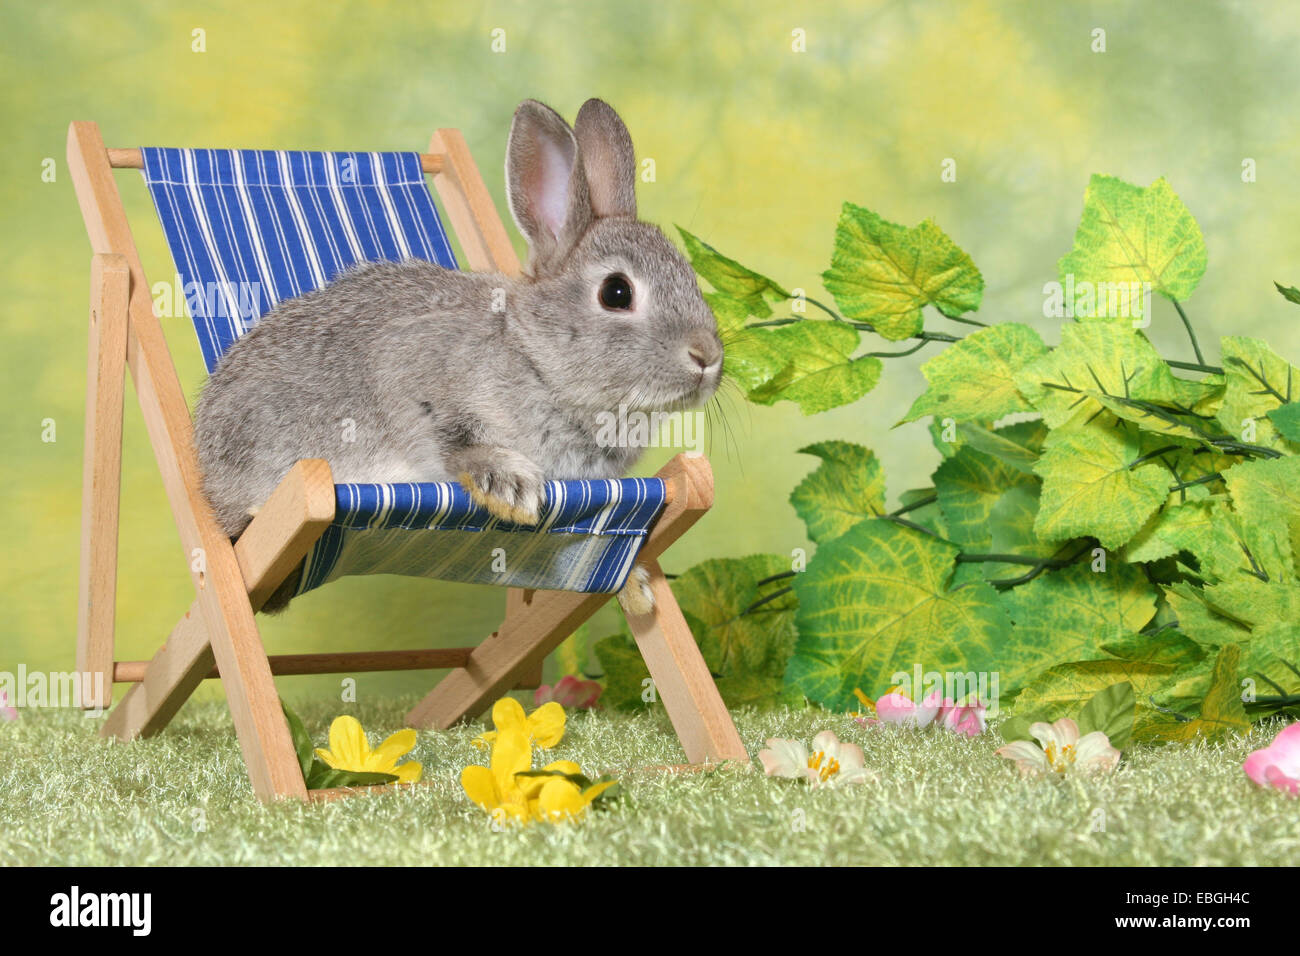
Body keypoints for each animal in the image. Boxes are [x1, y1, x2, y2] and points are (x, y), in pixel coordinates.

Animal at [193, 97, 724, 614]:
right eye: (616, 292)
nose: (707, 357)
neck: (536, 359)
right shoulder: (408, 366)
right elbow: (450, 437)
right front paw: (509, 486)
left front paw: (634, 585)